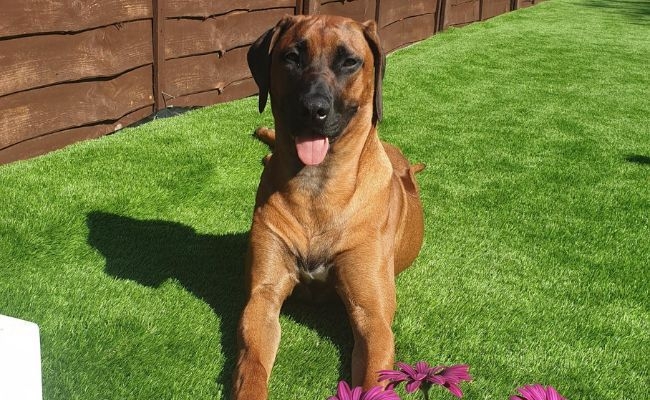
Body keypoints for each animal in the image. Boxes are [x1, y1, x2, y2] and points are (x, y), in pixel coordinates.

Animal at [233, 14, 426, 398]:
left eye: (349, 61)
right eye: (291, 57)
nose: (313, 109)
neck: (316, 186)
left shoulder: (373, 317)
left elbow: (373, 377)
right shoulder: (262, 297)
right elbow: (252, 365)